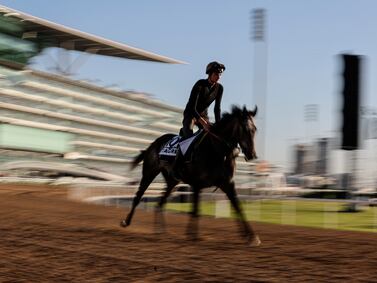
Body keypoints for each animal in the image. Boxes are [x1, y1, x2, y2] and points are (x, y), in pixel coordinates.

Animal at [121, 105, 262, 246]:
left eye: (255, 129)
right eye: (245, 129)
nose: (252, 155)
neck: (216, 150)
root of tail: (153, 144)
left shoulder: (227, 184)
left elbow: (238, 207)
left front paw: (252, 237)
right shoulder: (197, 184)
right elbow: (195, 211)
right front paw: (192, 235)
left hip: (172, 182)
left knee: (160, 203)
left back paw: (161, 230)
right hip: (149, 173)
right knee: (138, 197)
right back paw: (126, 222)